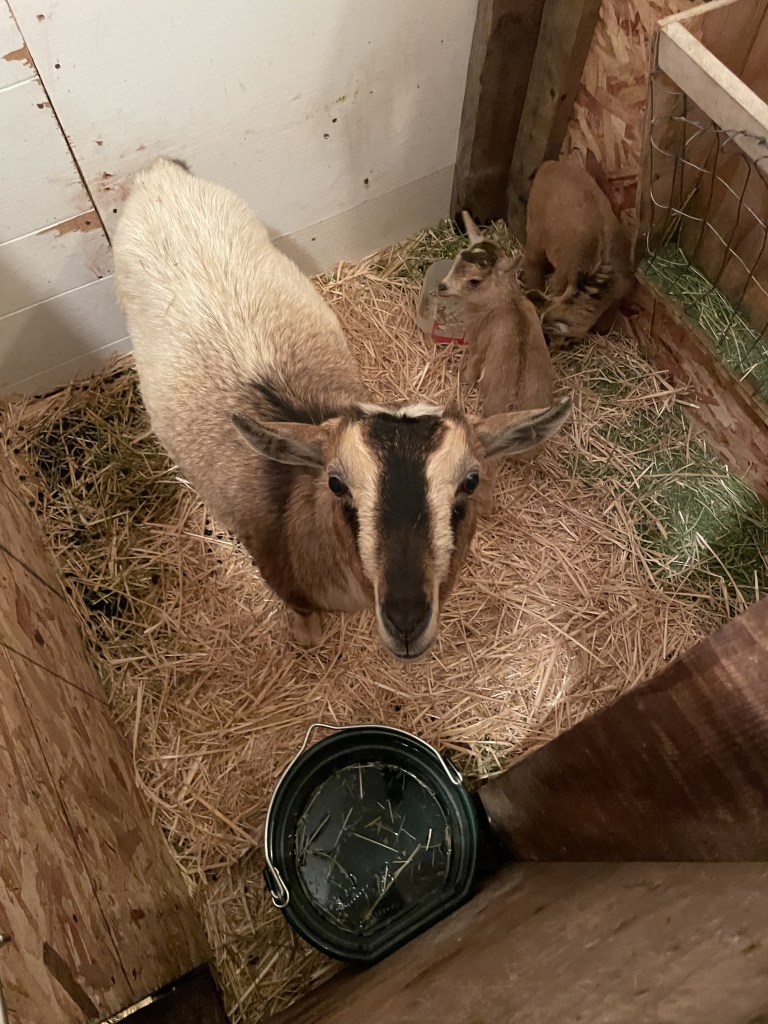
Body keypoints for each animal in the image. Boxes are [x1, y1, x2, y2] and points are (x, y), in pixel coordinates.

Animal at [438, 212, 555, 514]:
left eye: (475, 280)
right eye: (459, 255)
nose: (441, 287)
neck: (506, 301)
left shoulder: (478, 341)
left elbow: (471, 368)